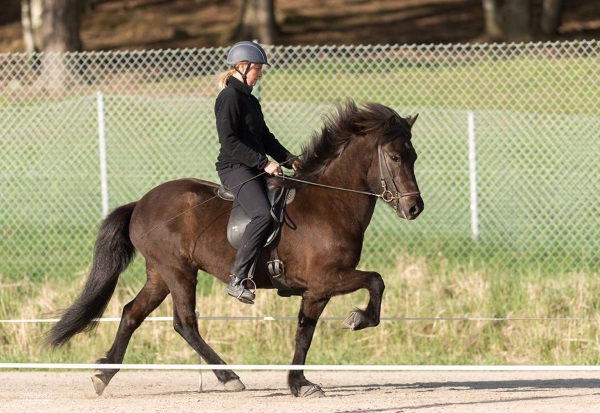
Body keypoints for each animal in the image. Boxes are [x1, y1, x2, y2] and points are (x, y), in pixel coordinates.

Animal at [44, 99, 424, 396]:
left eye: (414, 157)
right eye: (394, 156)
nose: (414, 208)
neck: (331, 202)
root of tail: (140, 203)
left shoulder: (316, 290)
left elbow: (305, 332)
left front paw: (299, 383)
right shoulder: (326, 279)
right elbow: (375, 281)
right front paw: (358, 320)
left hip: (159, 274)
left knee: (131, 314)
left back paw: (102, 374)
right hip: (178, 271)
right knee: (185, 323)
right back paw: (229, 377)